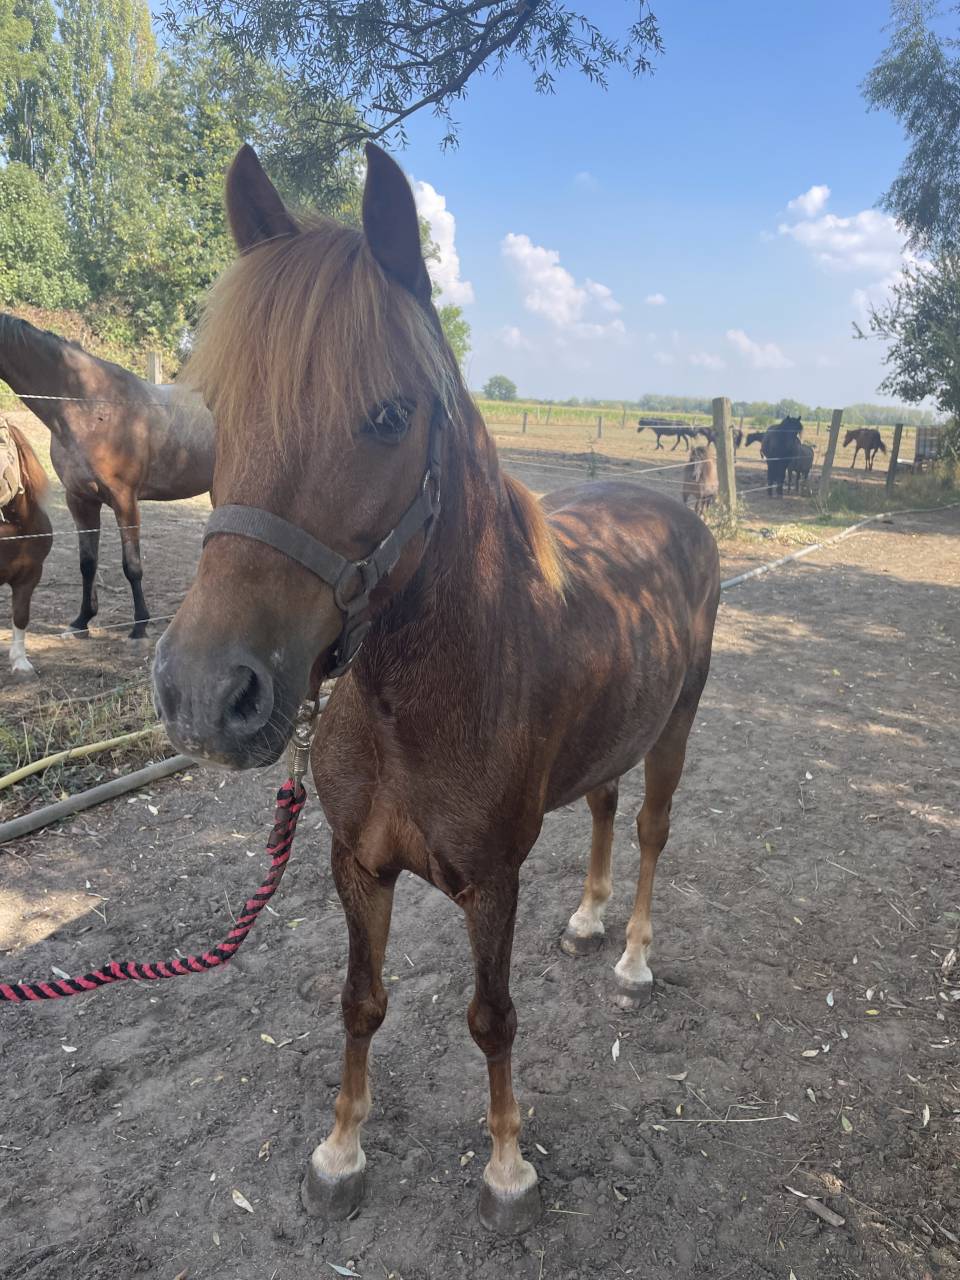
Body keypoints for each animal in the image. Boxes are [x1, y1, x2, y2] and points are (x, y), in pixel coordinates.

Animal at [0, 315, 214, 638]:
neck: (90, 405)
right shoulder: (80, 499)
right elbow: (88, 562)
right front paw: (82, 621)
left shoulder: (125, 499)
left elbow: (132, 565)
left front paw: (139, 626)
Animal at [153, 143, 721, 1235]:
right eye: (222, 410)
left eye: (389, 414)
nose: (206, 692)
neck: (414, 707)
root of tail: (673, 511)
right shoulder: (357, 865)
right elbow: (361, 1002)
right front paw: (340, 1150)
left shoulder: (490, 880)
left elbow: (491, 1018)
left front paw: (507, 1166)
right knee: (604, 805)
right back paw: (588, 919)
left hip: (677, 722)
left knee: (649, 830)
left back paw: (631, 953)